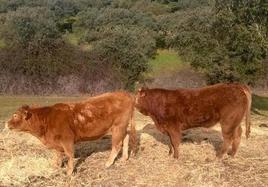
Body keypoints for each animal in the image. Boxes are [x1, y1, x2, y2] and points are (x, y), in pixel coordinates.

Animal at [5, 92, 137, 175]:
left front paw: (69, 171)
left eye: (15, 115)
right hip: (123, 127)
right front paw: (56, 166)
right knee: (126, 138)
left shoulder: (67, 139)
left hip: (118, 127)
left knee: (117, 145)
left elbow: (69, 155)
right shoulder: (56, 142)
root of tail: (124, 93)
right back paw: (124, 158)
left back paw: (108, 163)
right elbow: (57, 154)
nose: (6, 123)